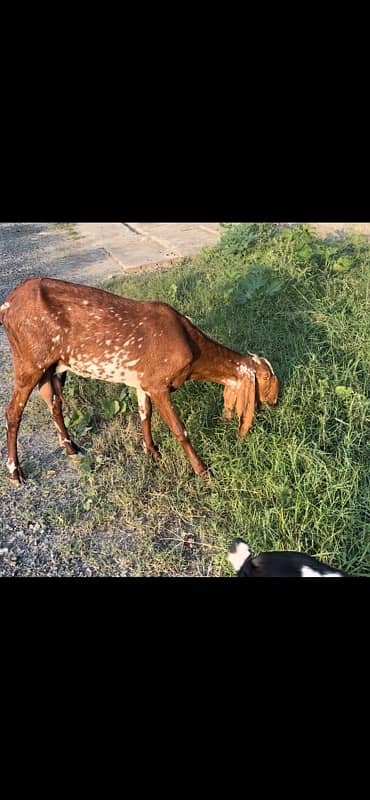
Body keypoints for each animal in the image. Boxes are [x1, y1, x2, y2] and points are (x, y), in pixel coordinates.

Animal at [0, 278, 278, 484]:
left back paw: (72, 449)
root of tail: (7, 305)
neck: (190, 344)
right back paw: (15, 472)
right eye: (265, 377)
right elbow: (180, 429)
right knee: (13, 412)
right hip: (29, 362)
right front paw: (203, 471)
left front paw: (152, 451)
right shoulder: (158, 383)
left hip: (54, 367)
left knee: (53, 401)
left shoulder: (142, 381)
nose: (275, 401)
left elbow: (145, 414)